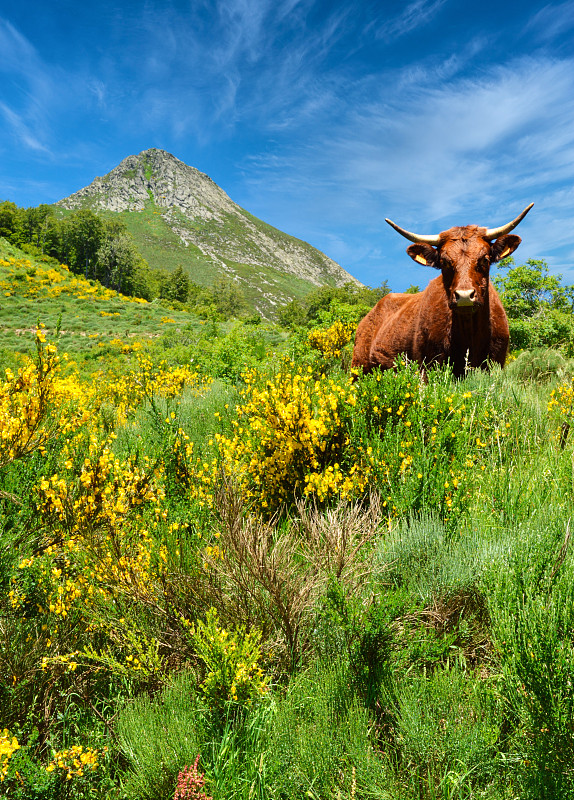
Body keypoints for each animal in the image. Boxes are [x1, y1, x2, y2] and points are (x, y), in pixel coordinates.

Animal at [352, 206, 536, 382]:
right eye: (445, 262)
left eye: (485, 259)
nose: (464, 296)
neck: (469, 336)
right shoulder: (427, 367)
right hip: (357, 369)